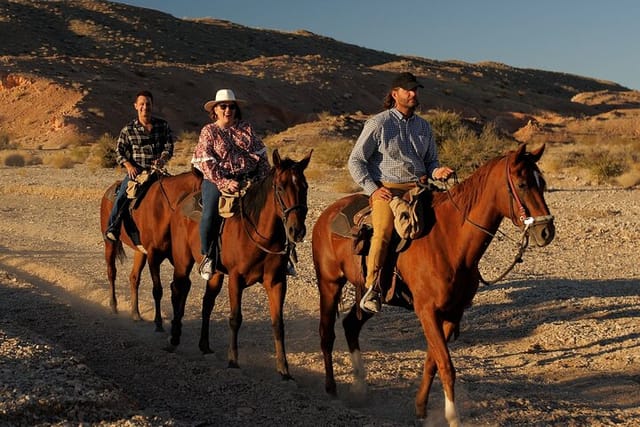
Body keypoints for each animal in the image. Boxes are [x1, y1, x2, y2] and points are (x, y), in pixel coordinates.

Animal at [100, 169, 201, 330]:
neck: (165, 210)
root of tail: (108, 191)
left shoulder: (175, 257)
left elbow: (182, 286)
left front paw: (177, 319)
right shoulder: (154, 255)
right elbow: (158, 289)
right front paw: (158, 322)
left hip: (139, 252)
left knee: (134, 278)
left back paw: (136, 313)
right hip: (109, 242)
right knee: (111, 272)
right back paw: (113, 305)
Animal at [169, 150, 312, 378]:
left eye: (304, 187)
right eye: (280, 187)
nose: (296, 231)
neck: (260, 236)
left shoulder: (277, 282)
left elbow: (278, 324)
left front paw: (284, 370)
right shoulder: (236, 280)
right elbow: (235, 319)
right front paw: (233, 361)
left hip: (216, 274)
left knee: (207, 303)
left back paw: (204, 346)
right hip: (183, 261)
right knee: (178, 289)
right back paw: (174, 339)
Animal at [310, 144, 556, 424]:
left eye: (542, 183)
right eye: (523, 184)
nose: (547, 231)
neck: (450, 241)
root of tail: (327, 215)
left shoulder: (452, 313)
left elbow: (433, 362)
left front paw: (421, 408)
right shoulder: (426, 310)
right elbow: (446, 366)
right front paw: (453, 417)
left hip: (370, 296)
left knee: (351, 325)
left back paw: (360, 388)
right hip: (329, 283)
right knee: (326, 333)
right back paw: (331, 389)